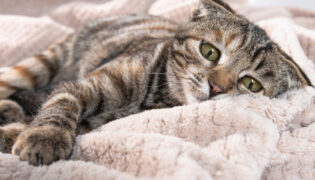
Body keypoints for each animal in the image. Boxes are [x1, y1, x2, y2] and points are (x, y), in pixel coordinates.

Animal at [0, 0, 312, 166]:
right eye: (209, 51)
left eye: (251, 84)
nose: (217, 88)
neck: (157, 97)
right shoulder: (83, 86)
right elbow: (63, 101)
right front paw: (46, 137)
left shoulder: (96, 123)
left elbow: (36, 120)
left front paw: (15, 132)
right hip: (39, 65)